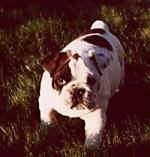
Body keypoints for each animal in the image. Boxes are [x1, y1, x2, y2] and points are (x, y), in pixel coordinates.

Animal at [38, 19, 124, 150]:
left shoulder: (96, 115)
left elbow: (93, 137)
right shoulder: (45, 103)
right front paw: (48, 134)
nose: (78, 90)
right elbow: (48, 119)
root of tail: (100, 29)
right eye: (61, 80)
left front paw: (91, 150)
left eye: (91, 80)